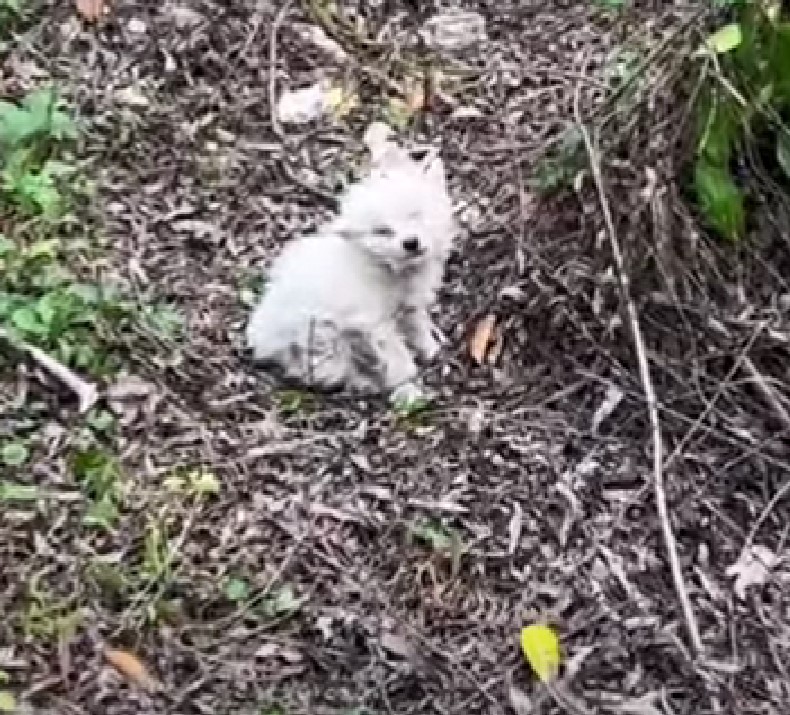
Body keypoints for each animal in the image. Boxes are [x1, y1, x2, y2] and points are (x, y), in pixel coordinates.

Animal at [248, 140, 458, 402]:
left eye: (415, 214)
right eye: (382, 231)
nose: (411, 242)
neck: (387, 268)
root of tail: (263, 342)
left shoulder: (408, 305)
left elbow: (417, 325)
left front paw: (430, 349)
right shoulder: (373, 324)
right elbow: (397, 355)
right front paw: (407, 383)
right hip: (323, 336)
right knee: (327, 370)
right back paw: (364, 381)